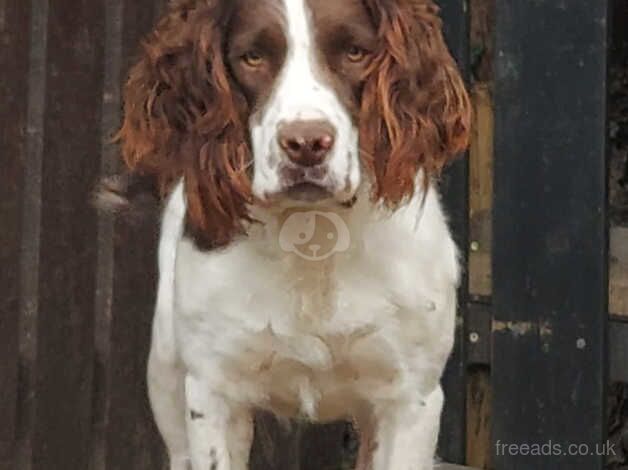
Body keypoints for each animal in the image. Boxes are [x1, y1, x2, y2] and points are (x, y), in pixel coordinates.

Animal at [109, 0, 472, 466]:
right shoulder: (213, 391)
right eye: (252, 57)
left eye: (355, 52)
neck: (314, 234)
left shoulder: (412, 398)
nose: (306, 144)